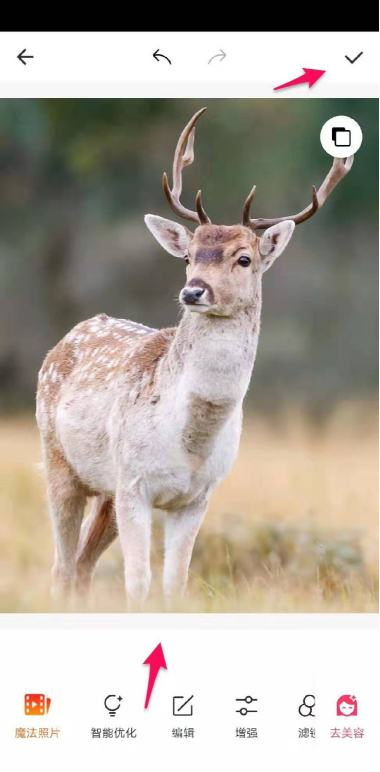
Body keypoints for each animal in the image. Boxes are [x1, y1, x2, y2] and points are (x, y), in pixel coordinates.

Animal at [35, 108, 354, 608]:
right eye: (188, 256)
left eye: (244, 259)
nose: (193, 291)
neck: (189, 441)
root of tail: (66, 338)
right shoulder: (134, 483)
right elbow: (138, 582)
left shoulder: (197, 497)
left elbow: (175, 585)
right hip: (59, 463)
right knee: (62, 567)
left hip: (104, 489)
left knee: (83, 565)